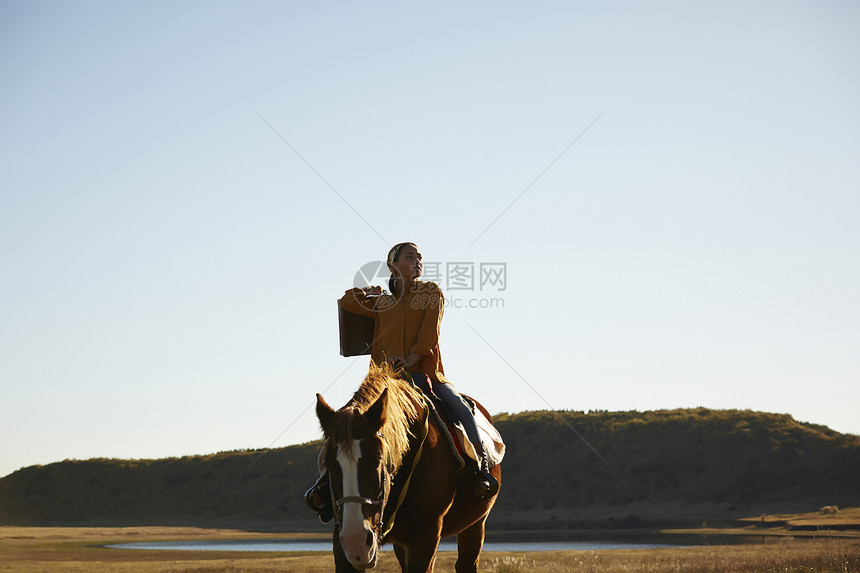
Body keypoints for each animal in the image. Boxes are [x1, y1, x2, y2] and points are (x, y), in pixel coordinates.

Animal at [316, 364, 500, 568]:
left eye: (378, 460)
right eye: (328, 465)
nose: (355, 542)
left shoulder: (425, 539)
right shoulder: (340, 539)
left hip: (475, 524)